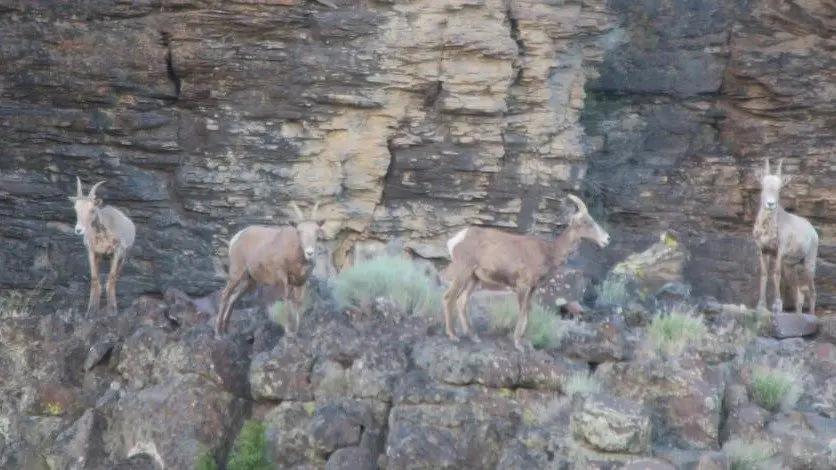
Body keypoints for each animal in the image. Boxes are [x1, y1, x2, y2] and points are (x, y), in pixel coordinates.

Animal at [69, 177, 137, 315]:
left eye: (92, 209)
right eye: (76, 209)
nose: (79, 230)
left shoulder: (117, 251)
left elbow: (111, 278)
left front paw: (112, 310)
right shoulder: (92, 252)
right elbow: (95, 279)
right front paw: (91, 310)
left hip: (121, 258)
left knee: (114, 278)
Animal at [214, 201, 323, 337]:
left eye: (317, 231)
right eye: (299, 231)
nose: (309, 252)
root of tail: (236, 238)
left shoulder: (302, 282)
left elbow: (298, 303)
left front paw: (297, 331)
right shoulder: (284, 278)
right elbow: (286, 299)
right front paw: (288, 331)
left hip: (251, 282)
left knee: (233, 298)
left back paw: (226, 330)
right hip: (236, 274)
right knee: (225, 295)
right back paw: (218, 332)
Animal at [443, 194, 610, 351]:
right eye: (586, 222)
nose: (607, 239)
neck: (549, 252)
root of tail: (456, 239)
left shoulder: (532, 288)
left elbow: (528, 310)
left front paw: (524, 342)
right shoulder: (523, 286)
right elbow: (522, 310)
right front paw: (518, 344)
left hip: (474, 278)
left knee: (461, 301)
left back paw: (474, 337)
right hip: (463, 272)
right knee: (449, 297)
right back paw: (453, 335)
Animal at [752, 158, 819, 315]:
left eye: (779, 189)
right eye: (764, 186)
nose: (770, 204)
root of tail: (813, 232)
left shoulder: (779, 251)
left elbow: (776, 274)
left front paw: (777, 306)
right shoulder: (764, 250)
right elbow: (764, 275)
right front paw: (761, 306)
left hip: (809, 264)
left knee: (812, 292)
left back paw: (812, 316)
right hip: (791, 267)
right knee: (799, 296)